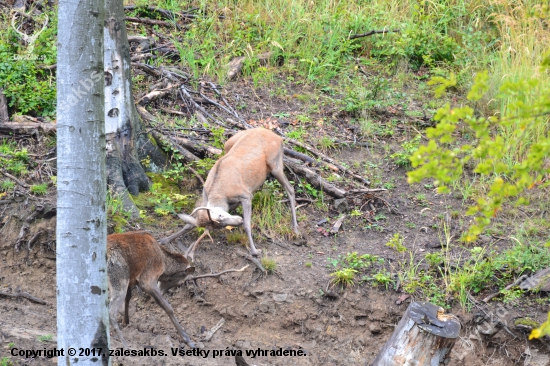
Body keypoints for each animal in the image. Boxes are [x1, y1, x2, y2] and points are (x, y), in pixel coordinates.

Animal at [177, 127, 300, 258]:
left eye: (221, 217)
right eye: (220, 224)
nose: (238, 220)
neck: (219, 193)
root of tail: (278, 137)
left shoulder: (246, 196)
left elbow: (247, 224)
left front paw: (255, 251)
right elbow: (189, 223)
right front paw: (169, 239)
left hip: (275, 165)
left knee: (290, 188)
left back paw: (295, 228)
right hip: (229, 144)